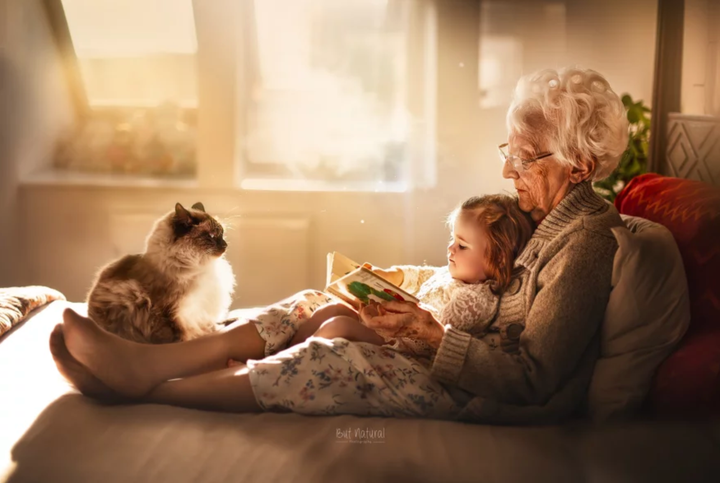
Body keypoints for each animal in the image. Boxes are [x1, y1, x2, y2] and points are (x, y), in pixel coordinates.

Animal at [86, 202, 235, 346]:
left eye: (222, 234)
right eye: (211, 236)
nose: (226, 245)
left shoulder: (200, 311)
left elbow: (207, 325)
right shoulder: (175, 312)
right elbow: (183, 335)